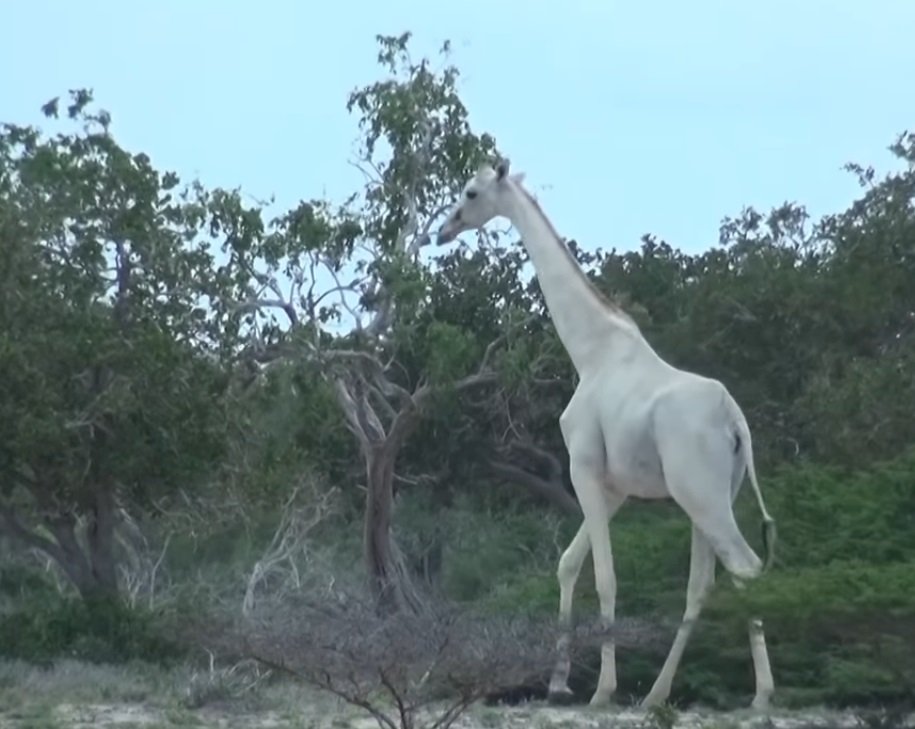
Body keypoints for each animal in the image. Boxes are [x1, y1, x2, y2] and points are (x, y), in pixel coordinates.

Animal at [438, 161, 780, 712]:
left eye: (470, 192)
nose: (442, 230)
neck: (590, 352)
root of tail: (736, 423)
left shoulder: (583, 468)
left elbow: (604, 577)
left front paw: (600, 689)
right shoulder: (616, 486)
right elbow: (566, 564)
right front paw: (558, 683)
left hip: (700, 495)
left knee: (744, 568)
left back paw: (761, 694)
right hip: (712, 496)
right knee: (705, 583)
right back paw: (658, 694)